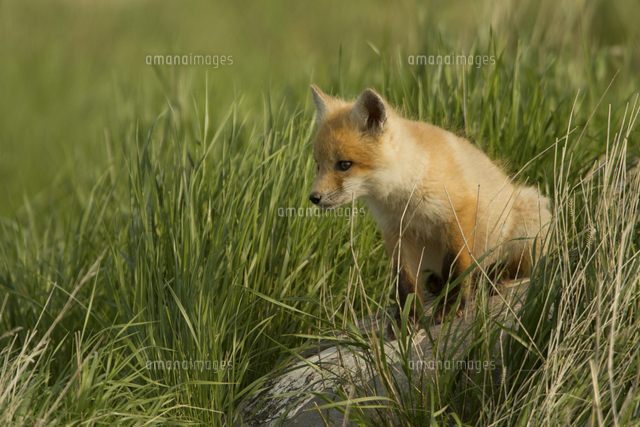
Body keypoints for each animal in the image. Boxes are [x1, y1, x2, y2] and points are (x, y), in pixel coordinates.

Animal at [308, 85, 551, 335]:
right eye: (318, 165)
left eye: (344, 165)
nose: (313, 198)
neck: (405, 196)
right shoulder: (397, 233)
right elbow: (405, 284)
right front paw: (406, 319)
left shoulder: (459, 214)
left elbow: (456, 268)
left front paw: (451, 308)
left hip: (530, 218)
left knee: (515, 268)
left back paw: (496, 277)